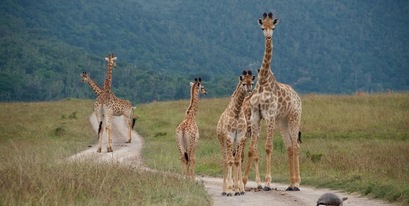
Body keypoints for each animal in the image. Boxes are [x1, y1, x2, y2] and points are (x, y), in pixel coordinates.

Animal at [241, 12, 302, 192]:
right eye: (263, 27)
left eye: (273, 27)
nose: (268, 37)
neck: (262, 83)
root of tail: (297, 96)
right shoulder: (256, 116)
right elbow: (252, 150)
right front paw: (244, 181)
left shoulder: (269, 115)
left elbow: (268, 147)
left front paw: (267, 182)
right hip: (282, 121)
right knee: (289, 146)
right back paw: (291, 184)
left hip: (294, 117)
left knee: (296, 146)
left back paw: (297, 183)